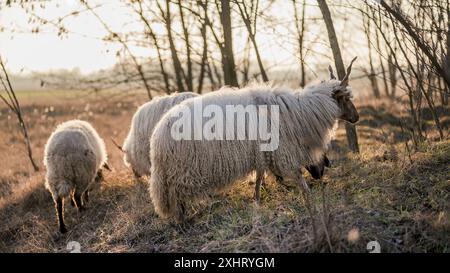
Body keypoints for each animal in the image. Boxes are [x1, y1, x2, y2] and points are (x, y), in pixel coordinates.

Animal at [149, 59, 360, 221]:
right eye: (345, 98)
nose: (356, 118)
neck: (297, 113)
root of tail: (157, 137)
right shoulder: (282, 151)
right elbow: (298, 177)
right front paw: (308, 198)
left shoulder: (261, 153)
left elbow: (259, 177)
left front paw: (257, 201)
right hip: (179, 172)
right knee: (177, 197)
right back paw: (183, 220)